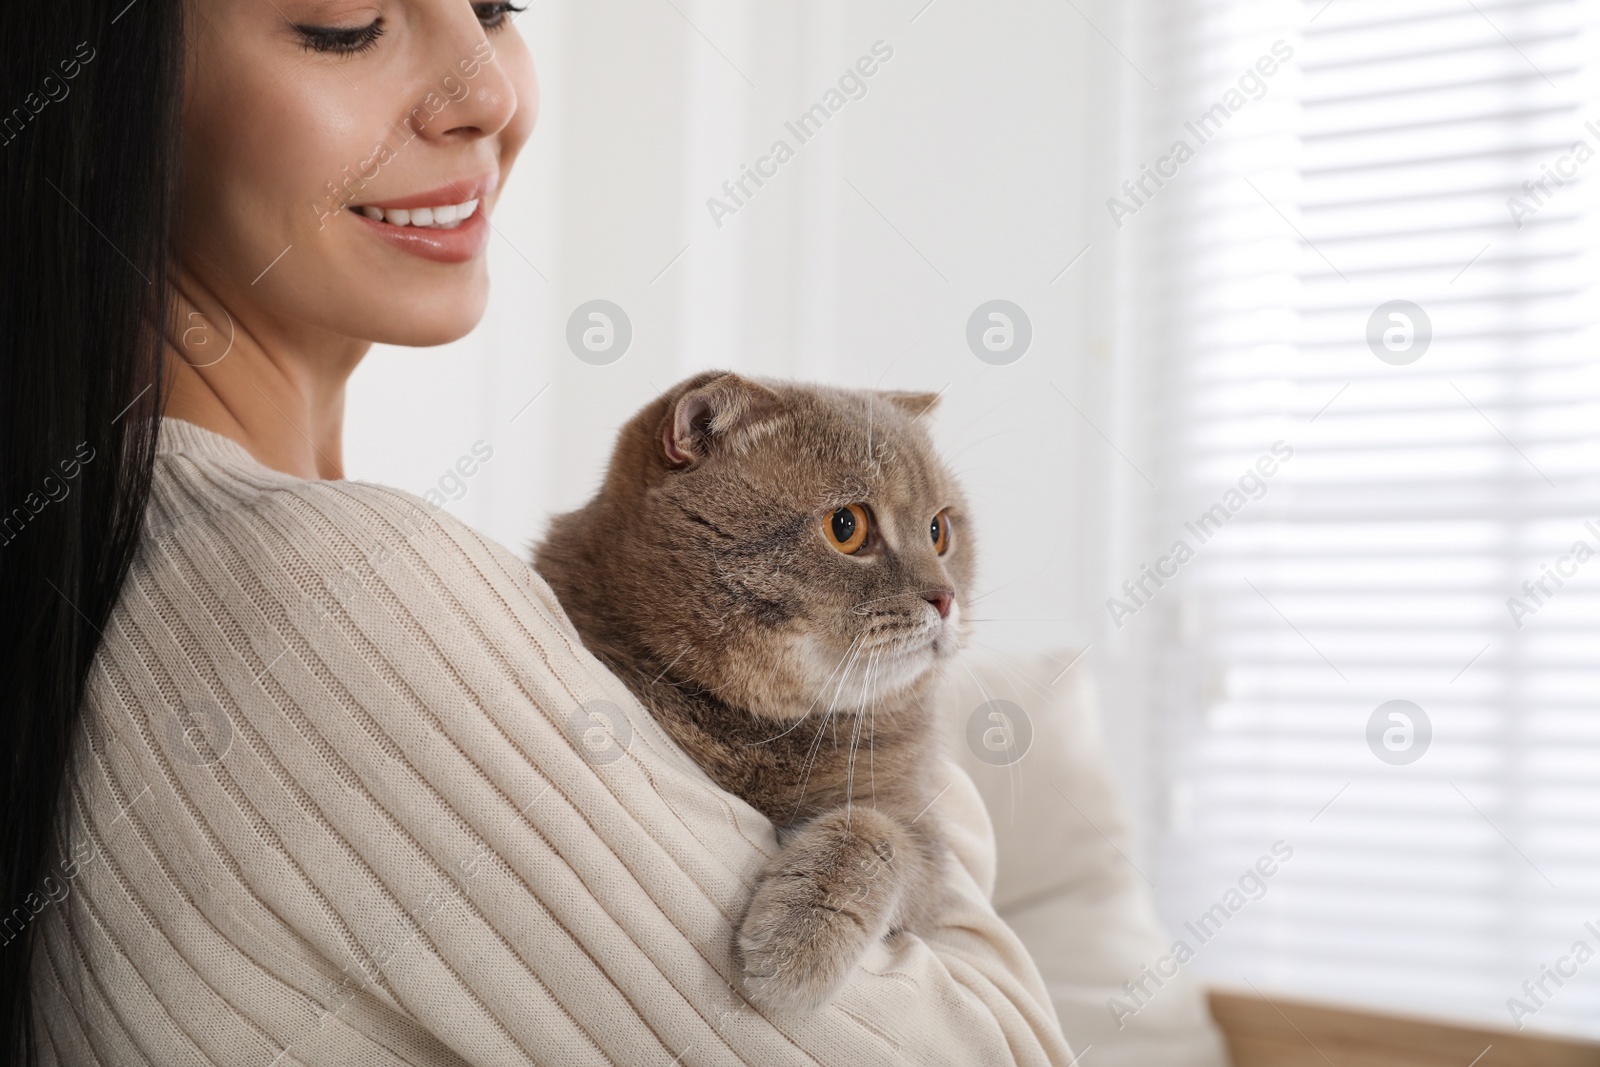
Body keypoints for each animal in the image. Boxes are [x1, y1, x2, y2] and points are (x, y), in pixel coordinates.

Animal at [534, 371, 972, 1017]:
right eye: (847, 526)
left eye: (939, 531)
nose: (945, 597)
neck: (769, 730)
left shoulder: (918, 829)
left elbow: (875, 832)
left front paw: (801, 940)